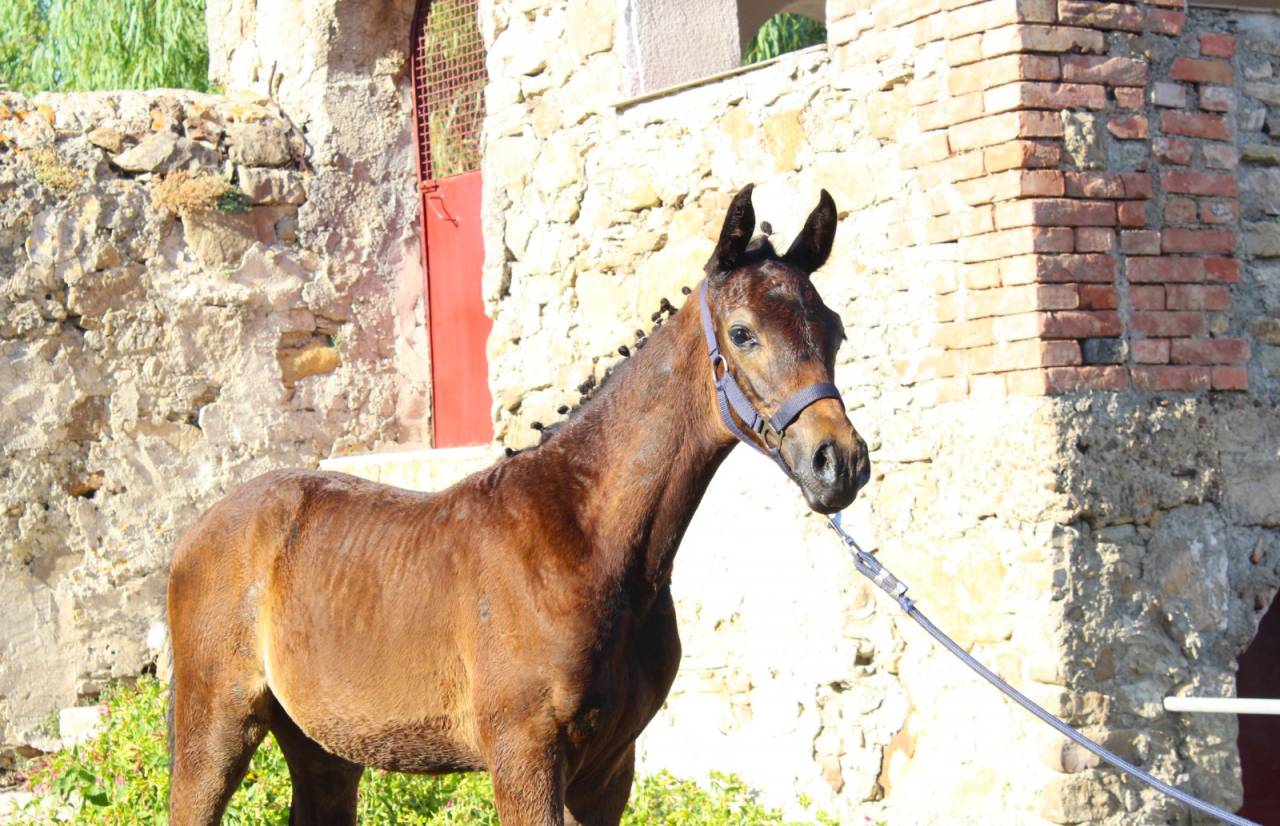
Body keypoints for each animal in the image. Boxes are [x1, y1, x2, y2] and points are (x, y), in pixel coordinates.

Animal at [166, 183, 871, 825]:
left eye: (836, 330)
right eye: (744, 333)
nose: (839, 463)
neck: (591, 541)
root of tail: (199, 529)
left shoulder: (610, 770)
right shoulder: (523, 755)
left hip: (325, 745)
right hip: (217, 723)